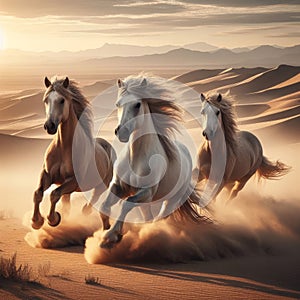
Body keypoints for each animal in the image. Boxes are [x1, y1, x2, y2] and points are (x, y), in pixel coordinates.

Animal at [30, 77, 115, 230]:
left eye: (62, 100)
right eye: (46, 100)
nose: (49, 126)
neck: (63, 147)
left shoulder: (72, 181)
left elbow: (54, 194)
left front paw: (53, 219)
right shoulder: (47, 175)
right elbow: (38, 194)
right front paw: (36, 221)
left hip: (101, 185)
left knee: (91, 202)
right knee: (67, 203)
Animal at [98, 74, 206, 248]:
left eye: (137, 104)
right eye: (118, 104)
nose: (121, 132)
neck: (136, 158)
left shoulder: (146, 192)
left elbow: (126, 204)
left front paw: (111, 236)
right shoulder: (118, 186)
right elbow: (104, 205)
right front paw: (105, 229)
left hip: (171, 201)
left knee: (159, 217)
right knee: (148, 217)